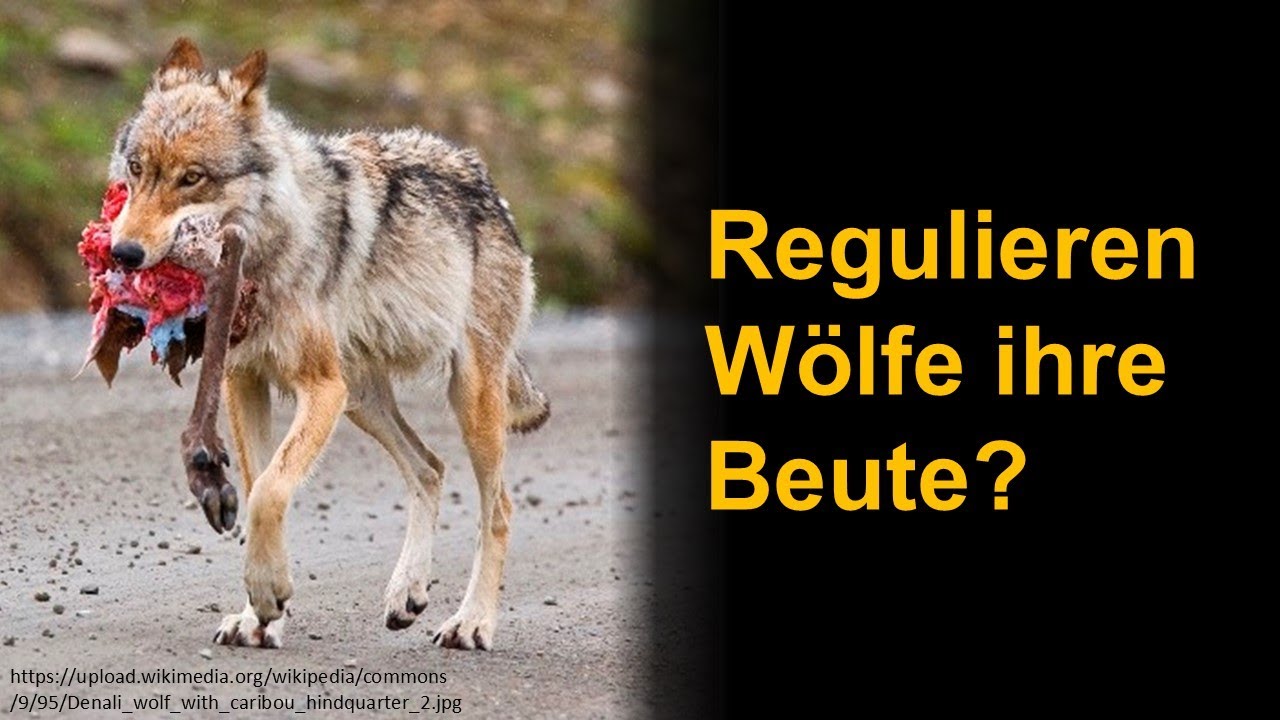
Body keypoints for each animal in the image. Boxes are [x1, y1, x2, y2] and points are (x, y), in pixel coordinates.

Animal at [107, 38, 550, 650]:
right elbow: (258, 486)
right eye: (137, 168)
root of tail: (484, 180)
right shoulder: (246, 382)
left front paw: (268, 594)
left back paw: (472, 622)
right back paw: (407, 592)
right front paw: (257, 617)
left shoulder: (319, 388)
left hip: (464, 401)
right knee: (430, 468)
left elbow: (270, 491)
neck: (268, 251)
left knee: (499, 506)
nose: (122, 253)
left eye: (192, 178)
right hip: (362, 399)